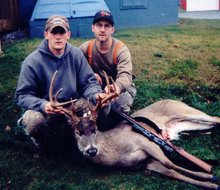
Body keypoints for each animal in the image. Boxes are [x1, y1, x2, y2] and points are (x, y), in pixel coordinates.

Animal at [49, 70, 220, 189]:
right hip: (187, 123)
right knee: (211, 124)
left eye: (95, 129)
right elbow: (173, 173)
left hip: (183, 111)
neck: (117, 153)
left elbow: (170, 163)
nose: (92, 150)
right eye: (77, 132)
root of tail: (174, 100)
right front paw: (211, 182)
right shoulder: (145, 163)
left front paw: (211, 176)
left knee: (215, 118)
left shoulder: (145, 141)